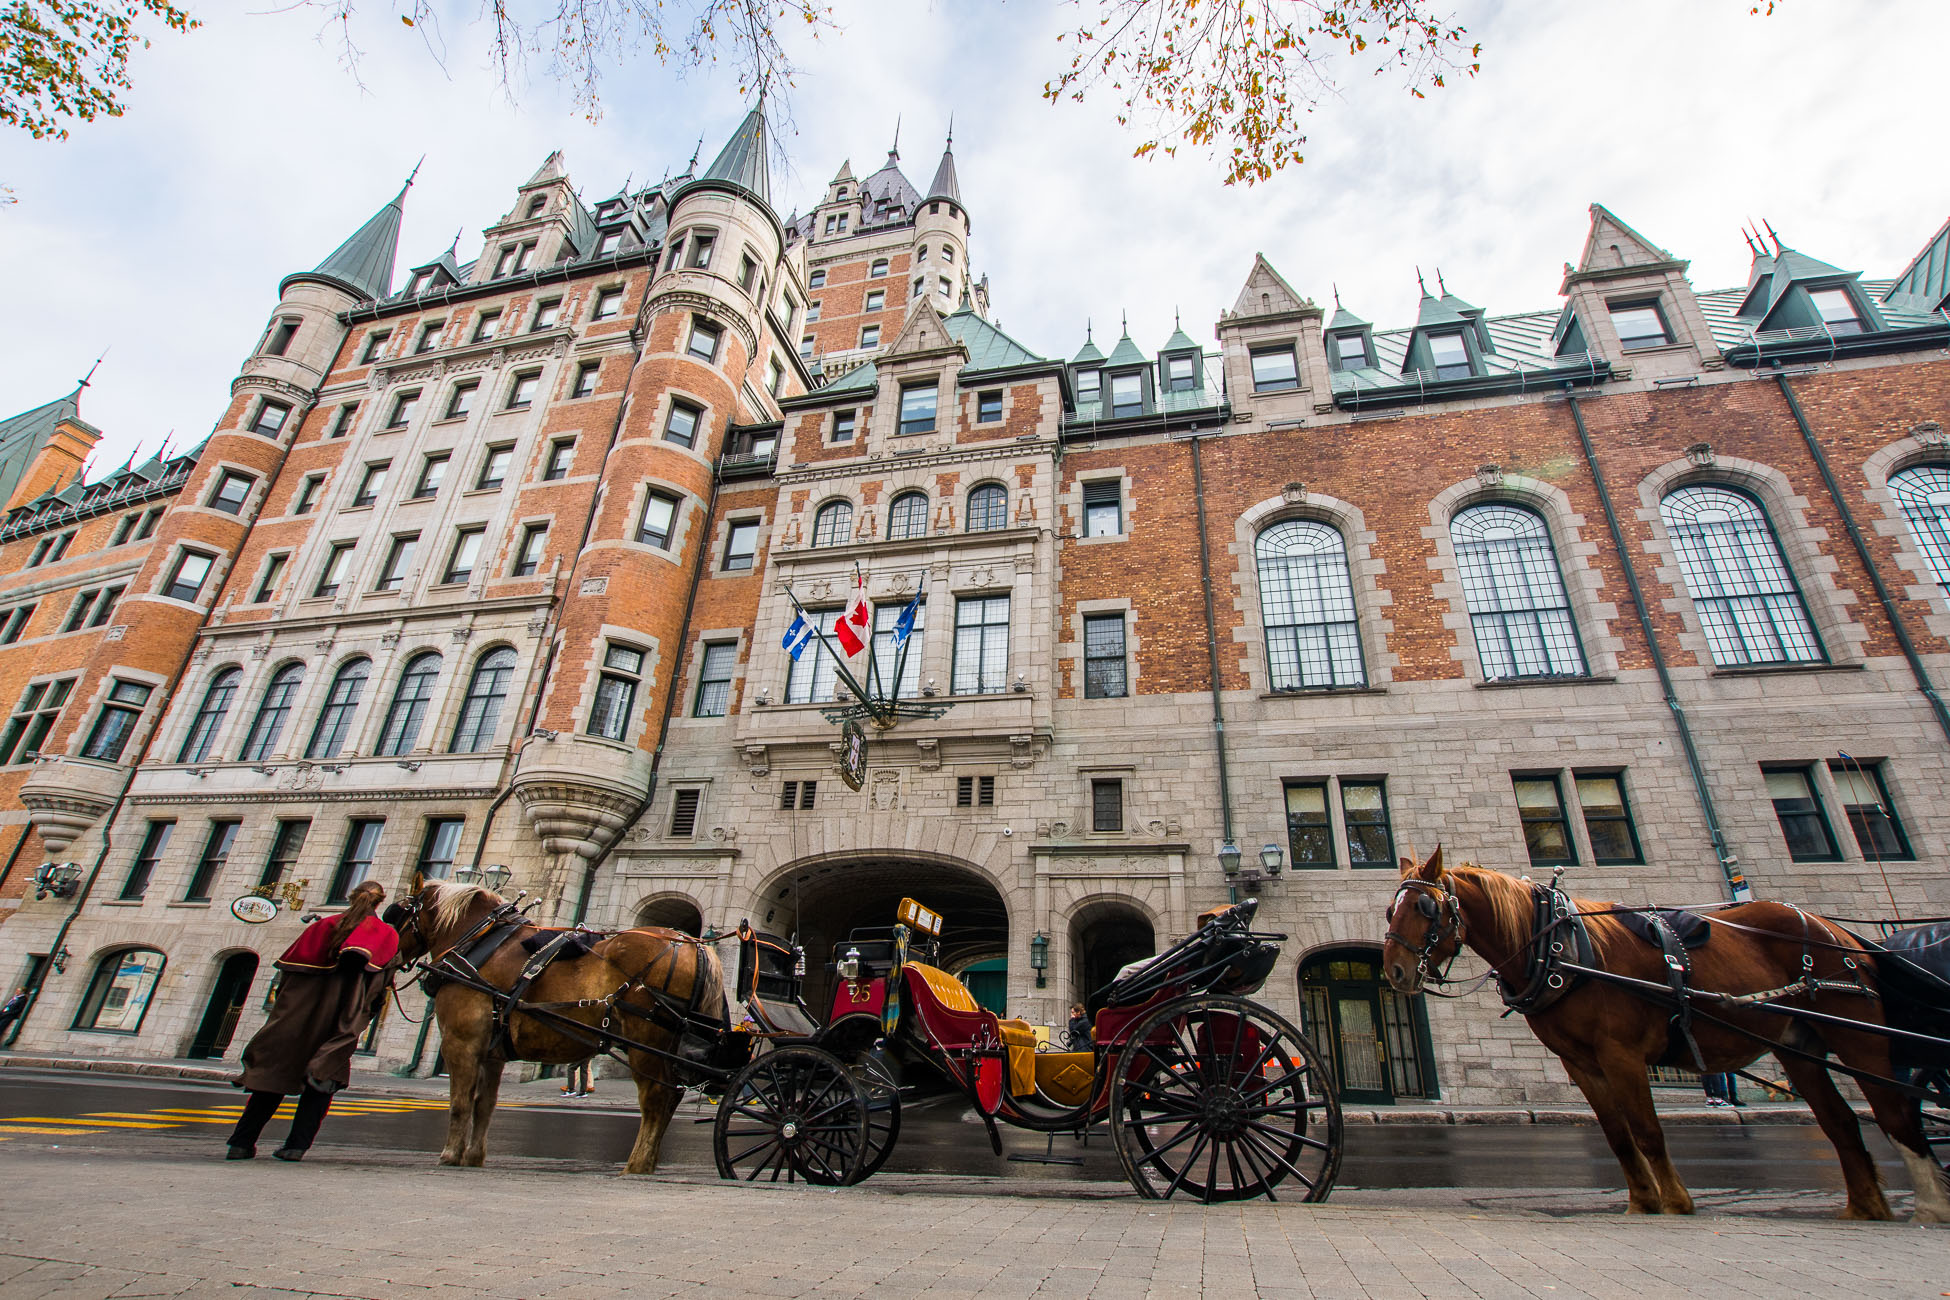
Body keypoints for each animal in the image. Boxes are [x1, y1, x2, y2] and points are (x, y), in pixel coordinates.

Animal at [390, 880, 725, 1177]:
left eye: (396, 913)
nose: (388, 960)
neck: (480, 942)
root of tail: (692, 944)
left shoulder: (461, 1041)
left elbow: (460, 1102)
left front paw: (449, 1156)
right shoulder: (492, 1052)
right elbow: (484, 1104)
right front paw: (473, 1157)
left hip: (646, 1040)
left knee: (656, 1098)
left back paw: (635, 1167)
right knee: (670, 1097)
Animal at [1380, 849, 1942, 1223]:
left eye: (1425, 909)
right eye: (1390, 910)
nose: (1395, 971)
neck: (1556, 949)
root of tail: (1841, 931)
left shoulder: (1622, 1053)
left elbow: (1647, 1131)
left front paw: (1674, 1203)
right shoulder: (1579, 1060)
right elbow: (1618, 1134)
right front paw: (1641, 1202)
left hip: (1859, 1036)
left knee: (1893, 1113)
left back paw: (1931, 1207)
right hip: (1800, 1046)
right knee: (1843, 1123)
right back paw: (1865, 1208)